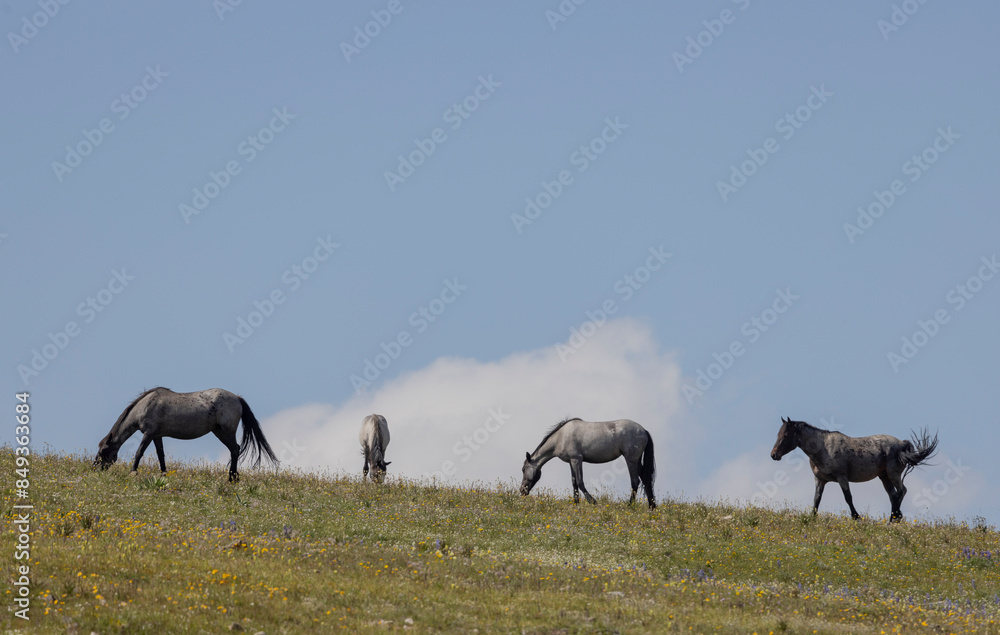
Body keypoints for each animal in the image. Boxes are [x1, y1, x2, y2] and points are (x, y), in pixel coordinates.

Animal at [94, 387, 278, 481]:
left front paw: (133, 472)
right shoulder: (157, 435)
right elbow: (160, 455)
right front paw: (164, 474)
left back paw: (231, 478)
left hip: (225, 432)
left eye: (103, 451)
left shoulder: (148, 433)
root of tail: (238, 398)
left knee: (235, 449)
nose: (95, 467)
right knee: (235, 449)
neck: (145, 406)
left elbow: (139, 452)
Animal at [520, 417, 656, 509]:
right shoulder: (571, 462)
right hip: (637, 460)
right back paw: (652, 506)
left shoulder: (577, 460)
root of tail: (643, 430)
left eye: (523, 469)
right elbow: (574, 482)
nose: (522, 491)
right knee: (645, 479)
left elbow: (580, 482)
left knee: (635, 481)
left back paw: (630, 505)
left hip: (630, 459)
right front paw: (576, 503)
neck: (561, 437)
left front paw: (592, 501)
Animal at [769, 417, 938, 522]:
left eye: (786, 434)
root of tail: (902, 444)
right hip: (884, 477)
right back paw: (894, 518)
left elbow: (848, 497)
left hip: (893, 474)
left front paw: (856, 517)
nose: (773, 455)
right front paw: (812, 517)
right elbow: (817, 499)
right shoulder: (820, 480)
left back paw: (894, 518)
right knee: (893, 495)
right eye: (778, 433)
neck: (823, 448)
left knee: (901, 491)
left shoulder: (842, 478)